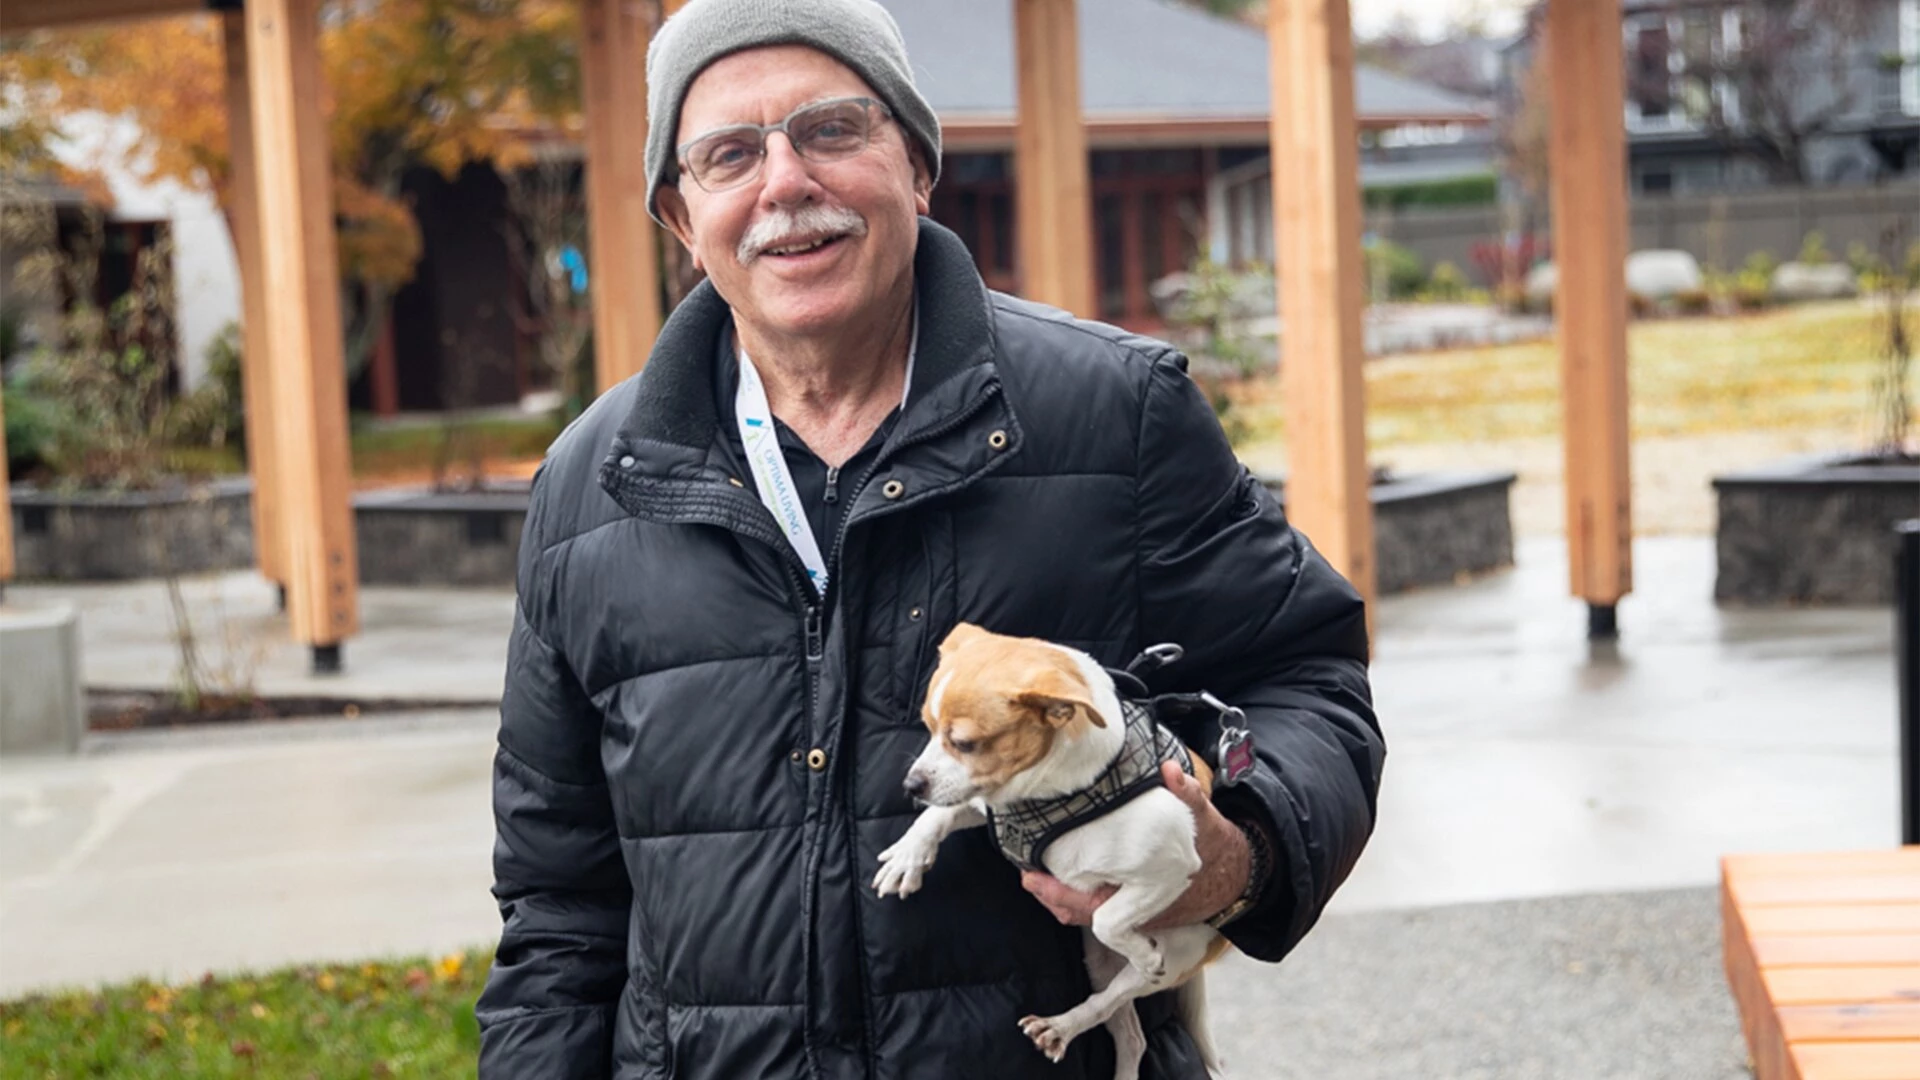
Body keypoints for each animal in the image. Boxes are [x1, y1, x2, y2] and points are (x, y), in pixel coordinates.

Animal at [875, 622, 1221, 1076]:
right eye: (929, 728)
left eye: (965, 743)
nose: (910, 785)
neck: (1044, 795)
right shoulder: (987, 805)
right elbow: (937, 816)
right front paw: (907, 857)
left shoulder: (1172, 866)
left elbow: (1107, 918)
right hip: (1099, 964)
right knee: (1131, 1035)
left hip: (1171, 955)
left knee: (1115, 992)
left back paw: (1061, 1026)